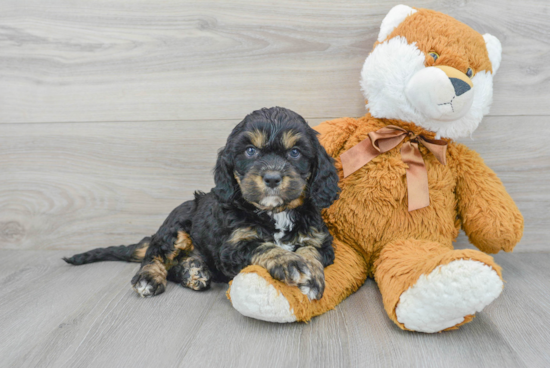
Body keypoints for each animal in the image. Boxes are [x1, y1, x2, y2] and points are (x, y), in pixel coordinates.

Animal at [64, 105, 340, 300]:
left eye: (295, 153)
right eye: (250, 151)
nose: (272, 178)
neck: (274, 212)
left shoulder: (320, 241)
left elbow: (311, 251)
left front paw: (312, 275)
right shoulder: (232, 248)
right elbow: (263, 246)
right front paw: (289, 262)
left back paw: (193, 271)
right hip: (176, 227)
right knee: (155, 256)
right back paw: (150, 278)